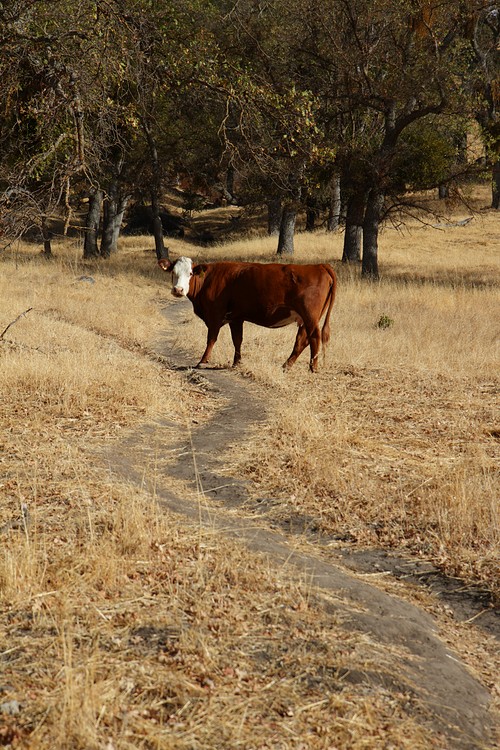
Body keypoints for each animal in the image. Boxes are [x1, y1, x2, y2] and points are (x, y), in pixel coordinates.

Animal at [159, 256, 337, 372]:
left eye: (190, 273)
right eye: (173, 272)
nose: (178, 290)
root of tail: (320, 266)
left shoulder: (215, 314)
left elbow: (211, 339)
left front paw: (203, 361)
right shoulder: (236, 318)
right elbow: (237, 340)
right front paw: (237, 362)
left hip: (310, 315)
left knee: (314, 337)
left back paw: (313, 367)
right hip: (305, 318)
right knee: (301, 340)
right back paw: (286, 365)